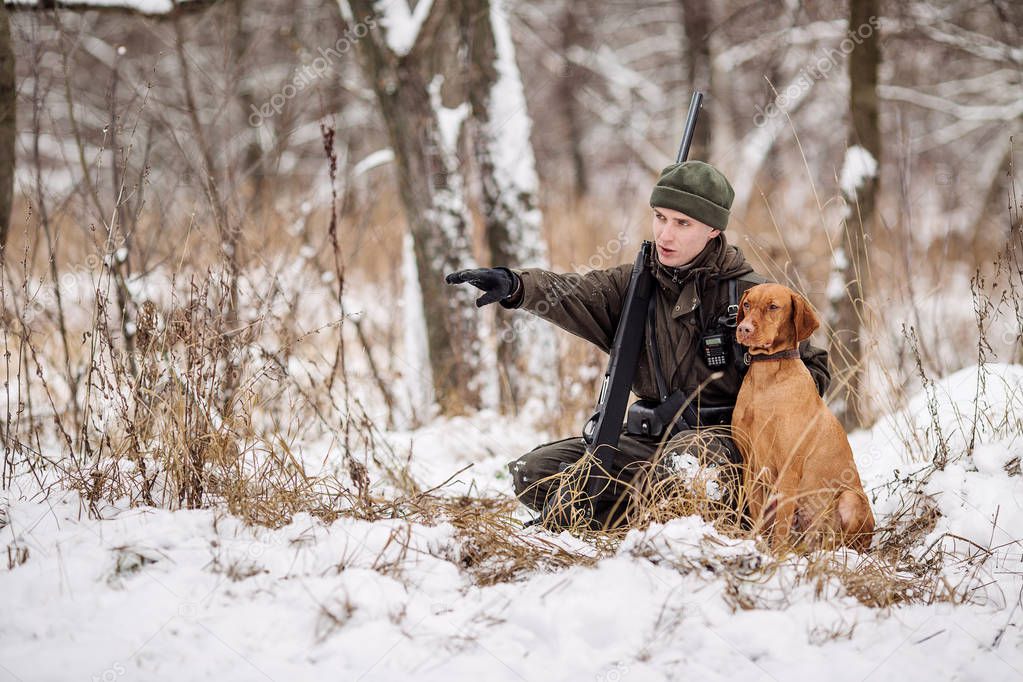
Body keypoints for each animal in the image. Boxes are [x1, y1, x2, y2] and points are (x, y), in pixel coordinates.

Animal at [732, 282, 875, 556]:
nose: (744, 329)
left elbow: (781, 527)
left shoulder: (789, 470)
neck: (766, 380)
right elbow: (758, 519)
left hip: (849, 500)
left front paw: (776, 556)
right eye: (746, 304)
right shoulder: (751, 466)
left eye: (773, 307)